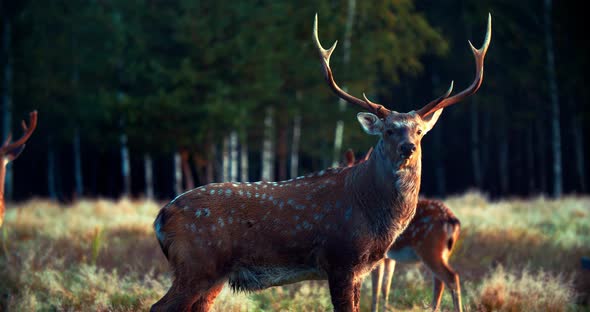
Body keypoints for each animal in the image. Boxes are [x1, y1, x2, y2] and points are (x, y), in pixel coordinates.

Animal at [344, 149, 464, 312]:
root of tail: (453, 221)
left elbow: (376, 289)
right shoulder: (388, 257)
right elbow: (385, 287)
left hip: (429, 248)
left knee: (450, 278)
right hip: (442, 252)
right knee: (439, 281)